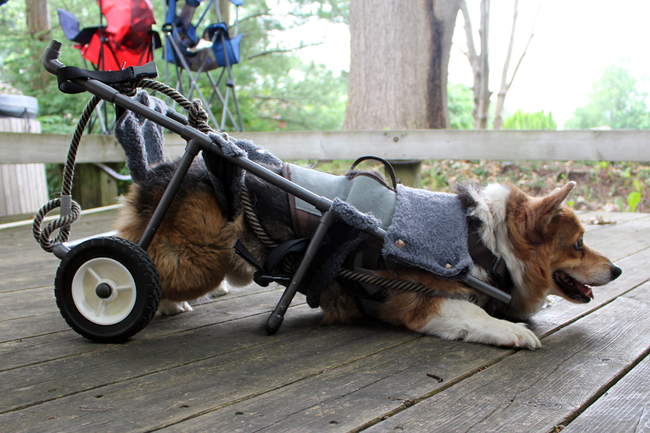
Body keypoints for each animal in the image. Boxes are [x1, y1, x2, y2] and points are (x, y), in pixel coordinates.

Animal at [114, 160, 620, 350]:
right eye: (578, 243)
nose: (616, 268)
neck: (487, 242)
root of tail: (161, 173)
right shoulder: (425, 301)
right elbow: (478, 316)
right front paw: (514, 332)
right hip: (195, 257)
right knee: (134, 254)